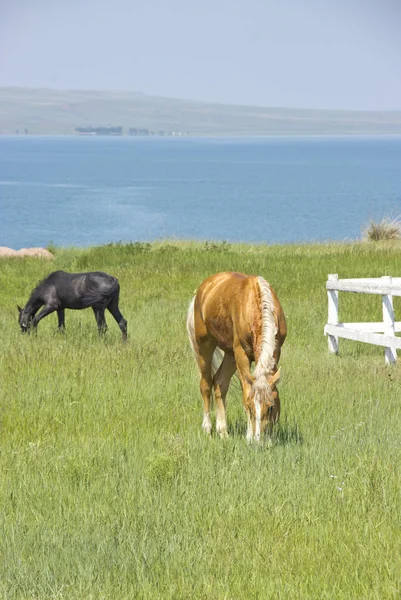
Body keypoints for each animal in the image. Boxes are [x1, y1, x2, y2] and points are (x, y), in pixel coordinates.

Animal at [186, 272, 286, 440]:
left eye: (271, 407)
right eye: (249, 407)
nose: (259, 440)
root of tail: (203, 289)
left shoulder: (276, 351)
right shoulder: (241, 354)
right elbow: (246, 391)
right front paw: (249, 436)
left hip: (230, 355)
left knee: (219, 383)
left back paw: (223, 432)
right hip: (205, 347)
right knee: (205, 385)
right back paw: (207, 429)